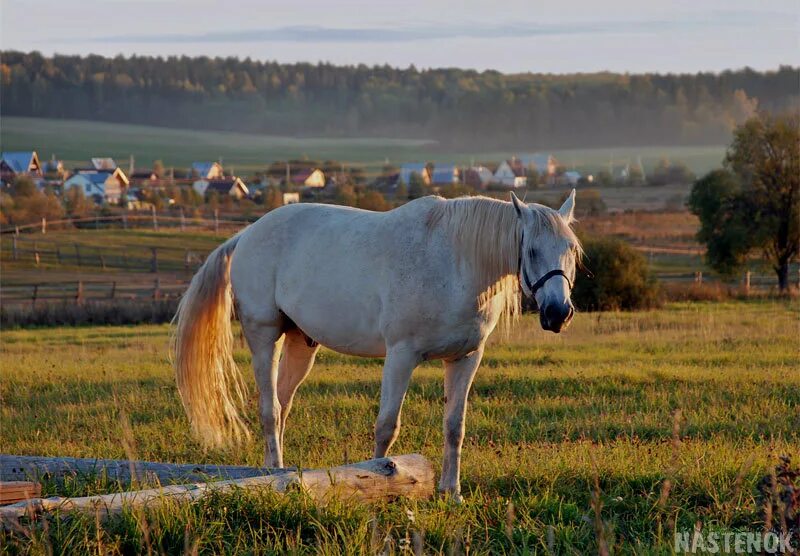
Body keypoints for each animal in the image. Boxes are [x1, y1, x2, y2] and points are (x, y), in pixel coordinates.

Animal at [172, 192, 580, 500]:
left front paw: (452, 492)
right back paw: (273, 471)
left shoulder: (465, 358)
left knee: (282, 405)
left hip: (301, 343)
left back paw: (280, 474)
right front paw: (380, 479)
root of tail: (246, 235)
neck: (455, 263)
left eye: (572, 251)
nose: (558, 313)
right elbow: (387, 426)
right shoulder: (401, 355)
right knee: (269, 409)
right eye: (531, 251)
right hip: (264, 337)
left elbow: (455, 426)